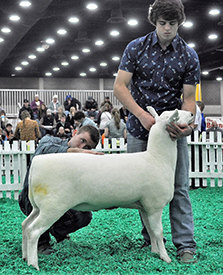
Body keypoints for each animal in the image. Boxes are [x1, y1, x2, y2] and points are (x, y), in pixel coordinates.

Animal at [22, 106, 193, 270]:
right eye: (176, 116)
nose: (192, 113)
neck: (157, 158)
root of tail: (35, 163)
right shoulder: (155, 205)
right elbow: (158, 232)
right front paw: (165, 257)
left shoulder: (145, 207)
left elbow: (151, 231)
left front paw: (155, 252)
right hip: (53, 206)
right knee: (34, 230)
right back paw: (34, 264)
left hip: (38, 207)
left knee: (25, 225)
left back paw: (25, 257)